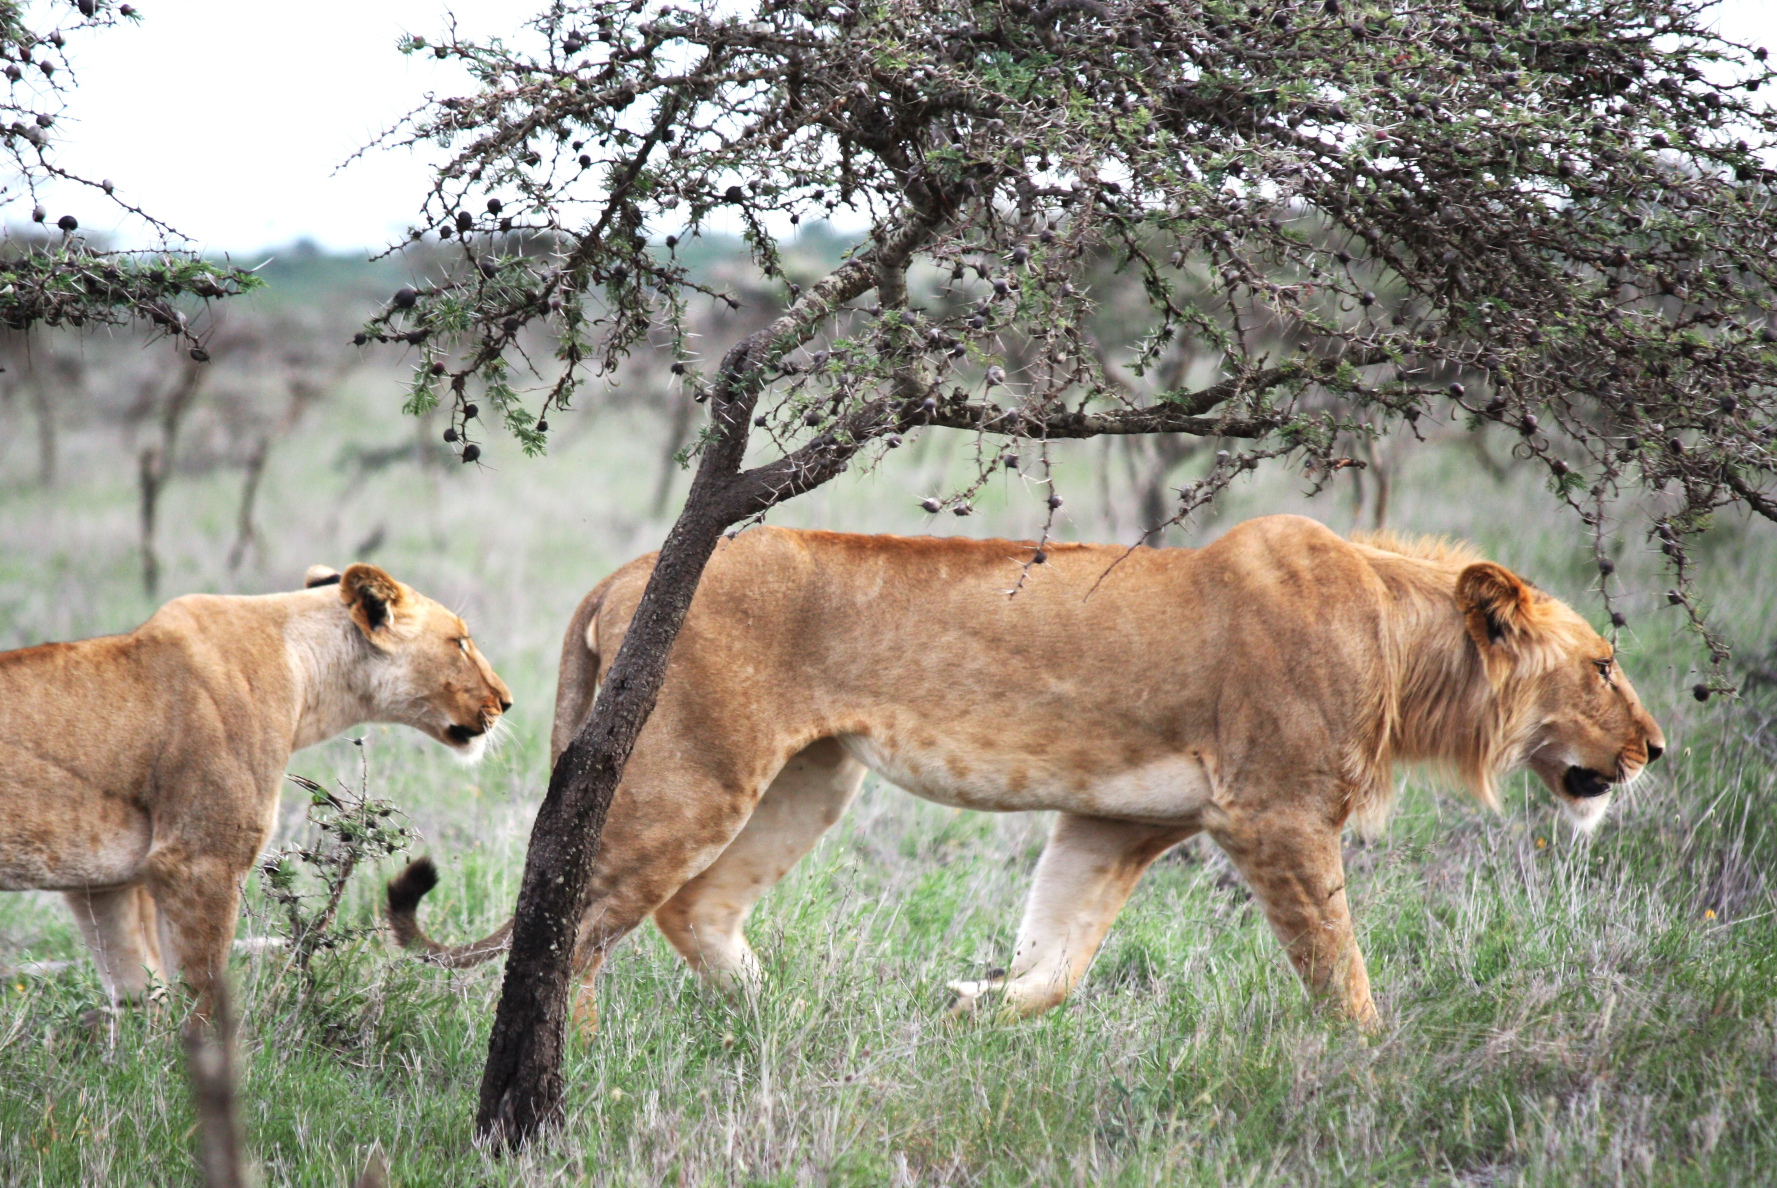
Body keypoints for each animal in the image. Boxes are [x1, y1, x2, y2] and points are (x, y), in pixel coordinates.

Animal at [0, 563, 511, 1018]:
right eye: (459, 642)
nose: (506, 701)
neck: (306, 674)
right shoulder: (198, 861)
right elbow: (203, 997)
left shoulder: (104, 882)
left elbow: (136, 995)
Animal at [388, 515, 1662, 1029]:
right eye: (1603, 664)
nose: (1658, 748)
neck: (1403, 649)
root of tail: (628, 571)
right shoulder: (1277, 817)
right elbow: (1339, 970)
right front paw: (1374, 1068)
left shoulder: (1116, 825)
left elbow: (1057, 958)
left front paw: (970, 1006)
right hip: (694, 771)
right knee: (577, 921)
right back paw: (569, 1074)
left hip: (811, 779)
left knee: (692, 911)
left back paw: (780, 1016)